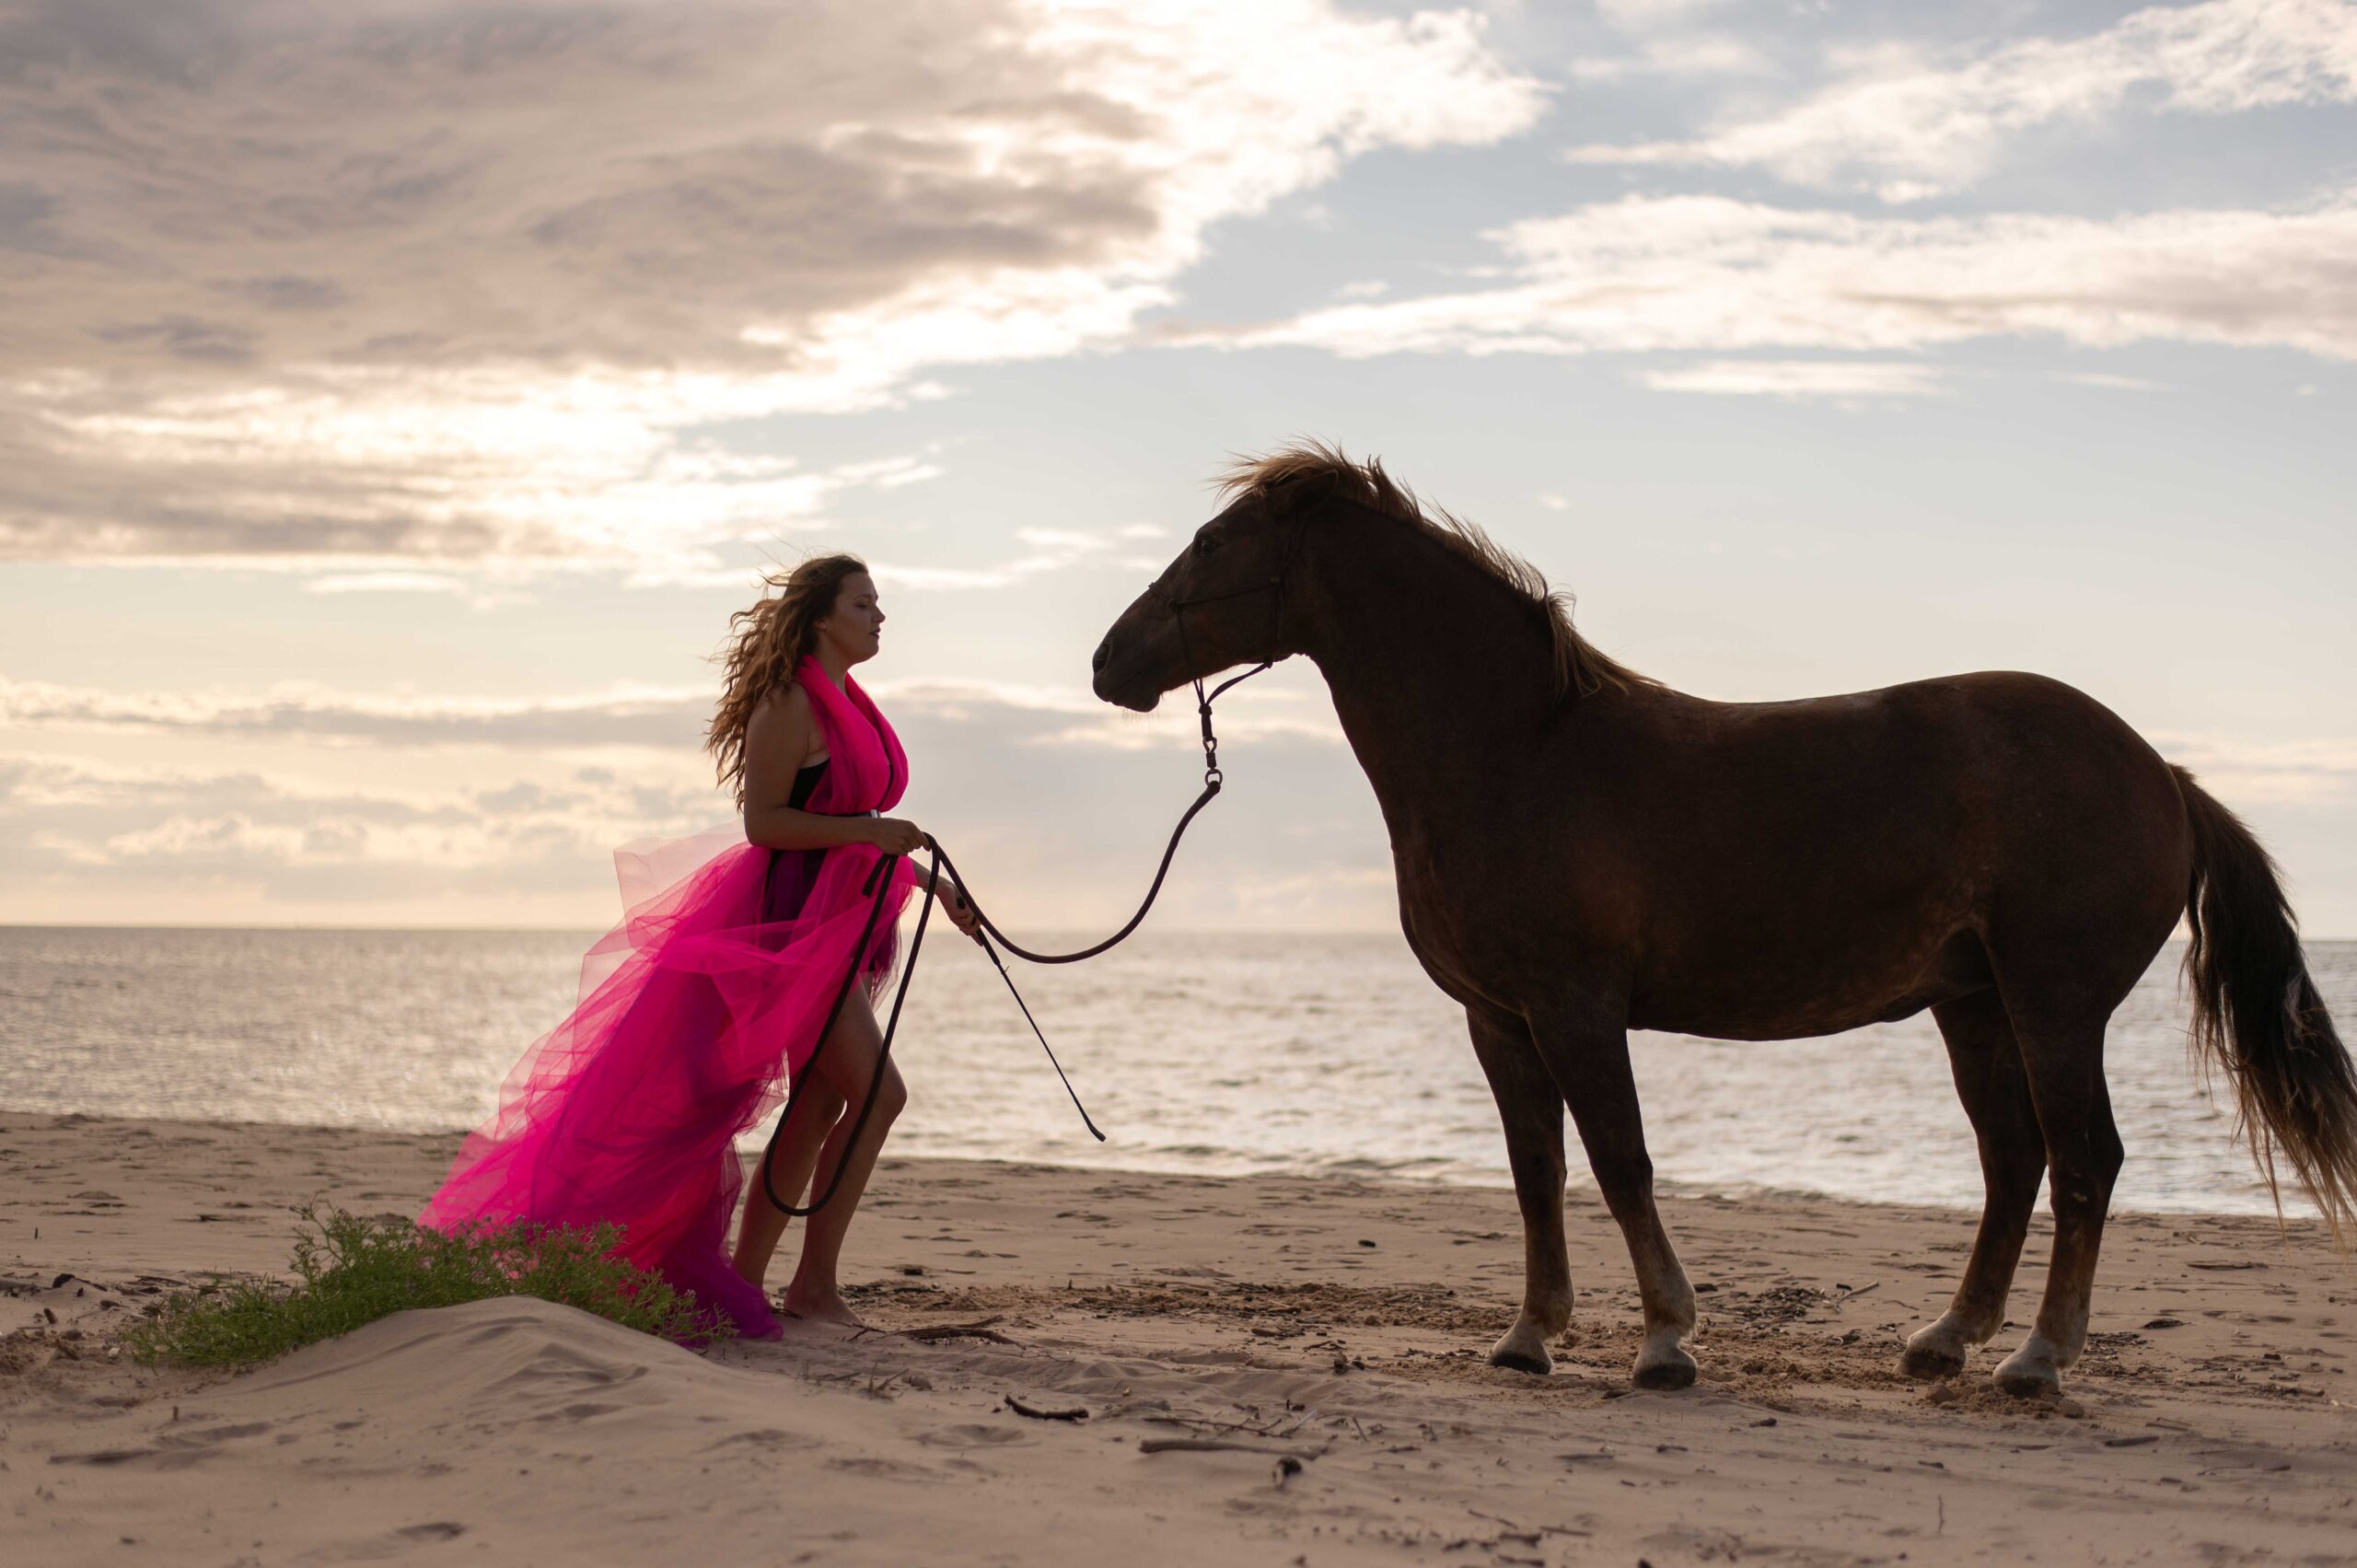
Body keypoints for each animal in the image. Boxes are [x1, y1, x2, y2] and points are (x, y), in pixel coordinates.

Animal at [1088, 442, 2357, 1398]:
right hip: (1973, 1004)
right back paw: (1945, 1341)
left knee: (2084, 1158)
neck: (1518, 755)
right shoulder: (1500, 1021)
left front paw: (1663, 1339)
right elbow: (1536, 1167)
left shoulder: (1576, 1008)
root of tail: (2159, 772)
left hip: (2052, 1004)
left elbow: (1621, 1158)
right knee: (2015, 1161)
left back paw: (2038, 1359)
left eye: (1212, 545)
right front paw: (1529, 1333)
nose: (1107, 664)